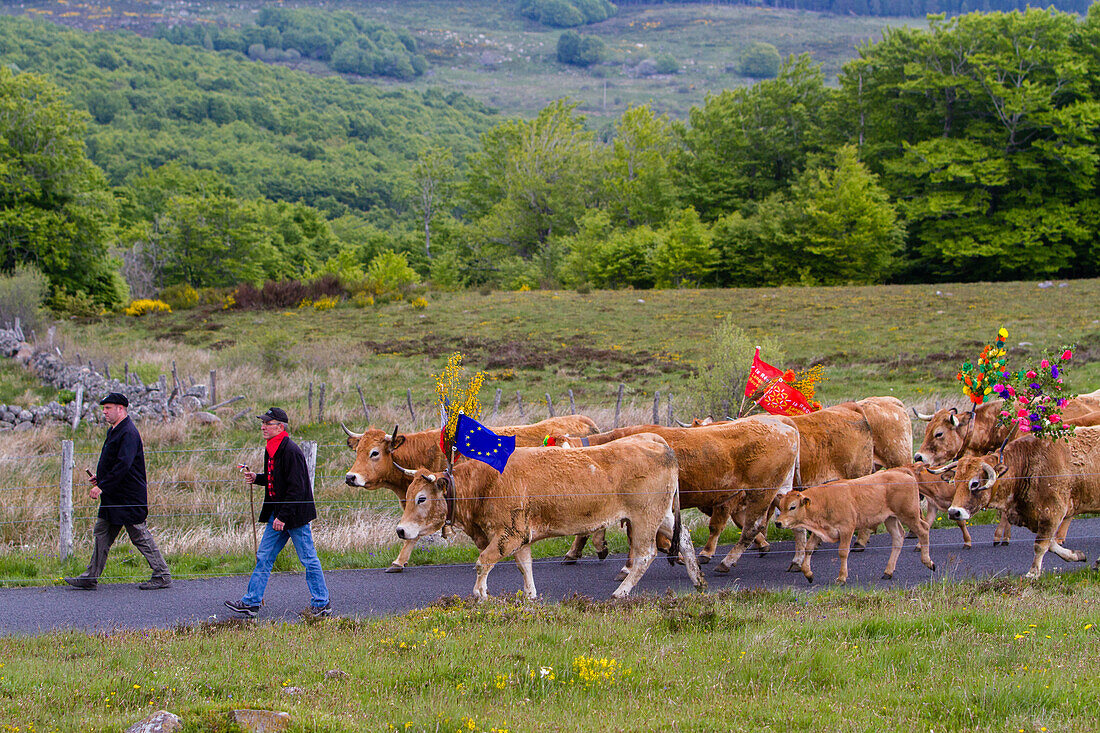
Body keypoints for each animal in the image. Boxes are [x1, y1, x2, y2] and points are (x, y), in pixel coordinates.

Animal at [393, 433, 704, 598]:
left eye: (422, 498)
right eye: (408, 494)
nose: (400, 530)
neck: (486, 483)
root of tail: (656, 441)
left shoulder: (508, 534)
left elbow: (483, 562)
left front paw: (480, 594)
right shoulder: (520, 535)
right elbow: (525, 566)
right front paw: (530, 596)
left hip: (644, 519)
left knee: (644, 554)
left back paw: (622, 592)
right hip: (663, 514)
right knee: (685, 539)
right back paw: (698, 580)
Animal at [550, 416, 800, 572]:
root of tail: (783, 424)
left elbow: (638, 538)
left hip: (762, 491)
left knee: (752, 526)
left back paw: (727, 562)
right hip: (780, 490)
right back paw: (797, 560)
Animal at [774, 468, 937, 581]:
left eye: (793, 507)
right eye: (780, 506)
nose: (778, 523)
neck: (824, 501)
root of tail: (900, 471)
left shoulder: (846, 529)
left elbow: (842, 552)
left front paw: (841, 577)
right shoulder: (821, 531)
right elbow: (809, 548)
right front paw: (808, 574)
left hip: (909, 515)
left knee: (923, 530)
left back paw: (928, 562)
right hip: (890, 519)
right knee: (898, 538)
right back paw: (888, 572)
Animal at [946, 422, 1100, 576]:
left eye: (975, 483)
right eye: (955, 481)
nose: (954, 512)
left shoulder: (1052, 512)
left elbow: (1040, 545)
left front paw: (1033, 573)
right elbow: (1051, 544)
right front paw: (1076, 555)